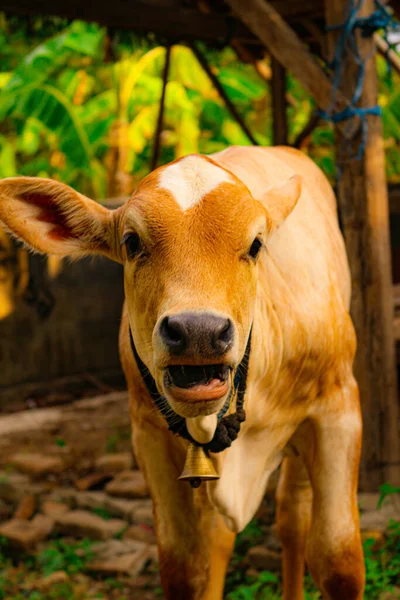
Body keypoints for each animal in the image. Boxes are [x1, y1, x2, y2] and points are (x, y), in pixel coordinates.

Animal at [0, 146, 364, 600]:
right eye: (132, 242)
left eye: (256, 245)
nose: (198, 332)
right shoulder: (149, 435)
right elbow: (184, 565)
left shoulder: (337, 410)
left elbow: (338, 560)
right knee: (222, 535)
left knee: (292, 517)